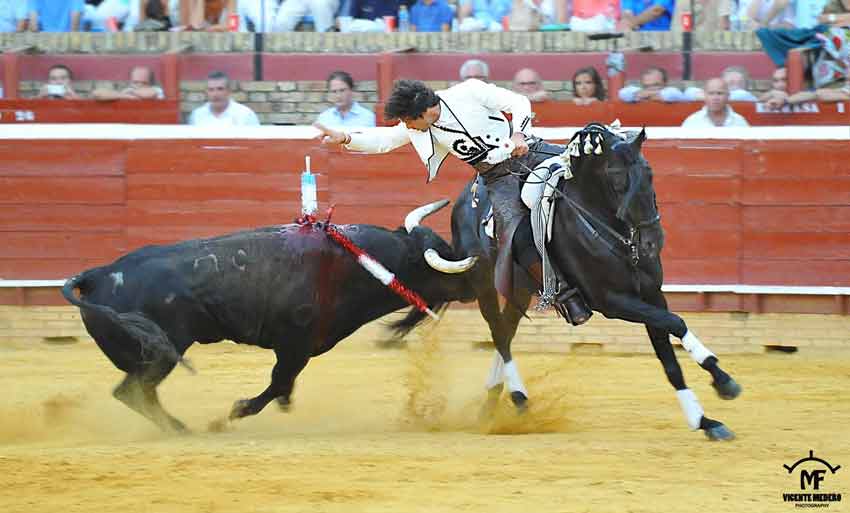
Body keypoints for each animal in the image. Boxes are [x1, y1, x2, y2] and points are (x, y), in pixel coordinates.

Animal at [63, 202, 476, 430]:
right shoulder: (295, 345)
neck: (355, 265)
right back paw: (182, 428)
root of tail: (99, 274)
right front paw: (234, 412)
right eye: (439, 265)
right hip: (163, 352)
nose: (476, 282)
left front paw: (280, 404)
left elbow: (284, 384)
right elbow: (279, 381)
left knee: (135, 392)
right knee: (133, 392)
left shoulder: (299, 348)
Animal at [454, 122, 740, 438]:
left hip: (520, 289)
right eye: (615, 175)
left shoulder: (652, 294)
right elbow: (676, 322)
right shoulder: (612, 302)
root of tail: (465, 199)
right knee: (498, 333)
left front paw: (705, 418)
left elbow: (668, 354)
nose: (653, 241)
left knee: (506, 330)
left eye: (649, 172)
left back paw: (492, 400)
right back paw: (518, 397)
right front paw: (722, 382)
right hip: (483, 283)